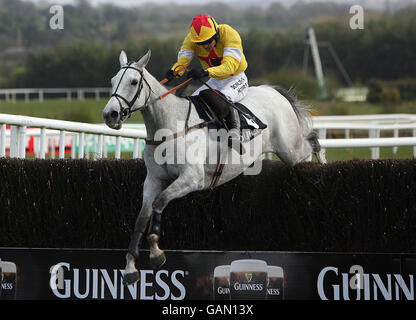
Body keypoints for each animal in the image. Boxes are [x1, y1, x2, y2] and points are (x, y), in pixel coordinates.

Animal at [102, 50, 326, 284]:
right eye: (113, 81)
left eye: (133, 81)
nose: (110, 114)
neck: (169, 127)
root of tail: (273, 91)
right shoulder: (153, 179)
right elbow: (141, 217)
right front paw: (130, 267)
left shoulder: (192, 178)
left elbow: (159, 201)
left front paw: (156, 252)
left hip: (291, 149)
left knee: (313, 140)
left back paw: (323, 166)